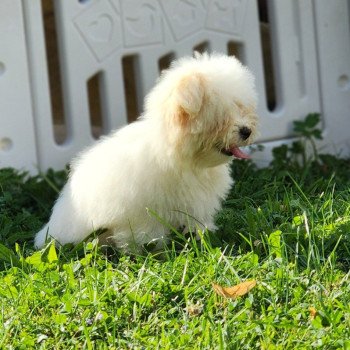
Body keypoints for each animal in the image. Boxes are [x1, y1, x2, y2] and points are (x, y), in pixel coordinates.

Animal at [35, 52, 258, 252]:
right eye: (220, 119)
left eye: (242, 109)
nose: (246, 131)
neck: (177, 157)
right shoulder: (142, 212)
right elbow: (146, 234)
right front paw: (153, 251)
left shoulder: (196, 203)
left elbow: (197, 223)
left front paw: (202, 237)